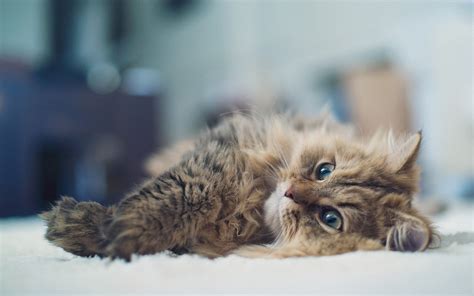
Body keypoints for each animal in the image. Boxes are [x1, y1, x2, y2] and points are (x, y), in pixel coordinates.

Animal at [40, 112, 434, 260]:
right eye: (324, 170)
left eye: (331, 219)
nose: (290, 193)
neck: (251, 211)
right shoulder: (218, 156)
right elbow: (179, 193)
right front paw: (88, 225)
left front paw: (110, 236)